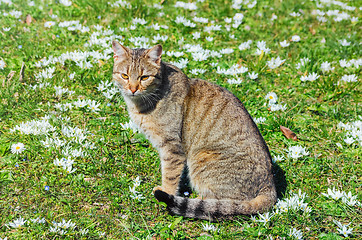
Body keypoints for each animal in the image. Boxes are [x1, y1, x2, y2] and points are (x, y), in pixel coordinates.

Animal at [111, 40, 276, 220]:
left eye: (144, 77)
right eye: (125, 76)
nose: (133, 89)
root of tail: (270, 186)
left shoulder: (172, 148)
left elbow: (170, 176)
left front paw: (166, 192)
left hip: (201, 159)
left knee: (223, 205)